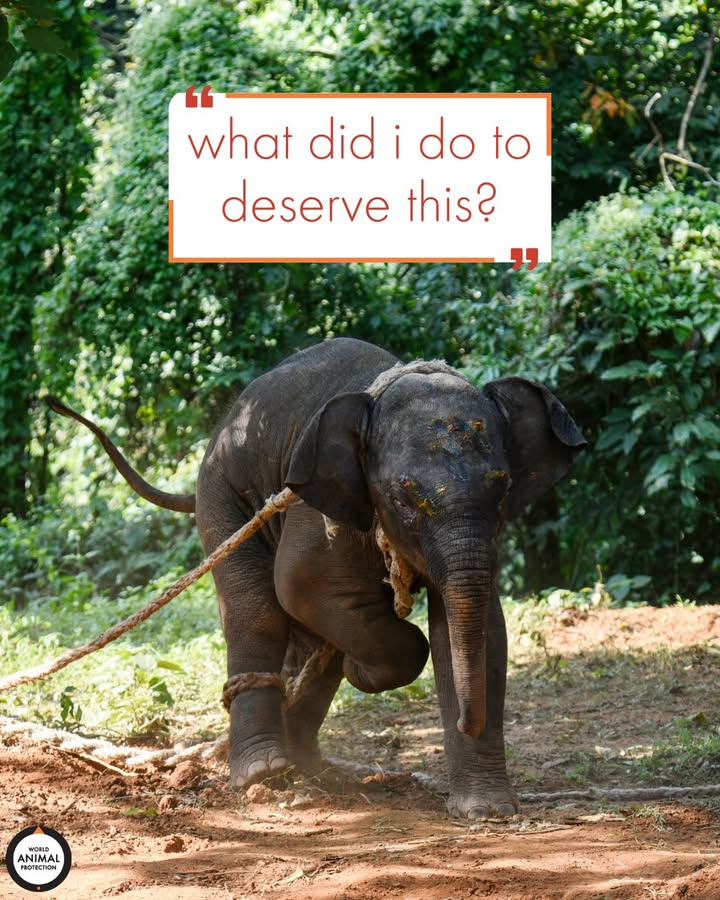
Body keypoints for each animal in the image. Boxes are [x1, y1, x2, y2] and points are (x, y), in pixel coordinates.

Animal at [50, 337, 586, 819]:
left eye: (504, 488)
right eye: (404, 497)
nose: (466, 723)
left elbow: (483, 630)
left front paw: (488, 811)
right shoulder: (314, 504)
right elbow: (299, 585)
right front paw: (366, 667)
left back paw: (306, 765)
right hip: (222, 493)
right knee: (255, 608)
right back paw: (264, 771)